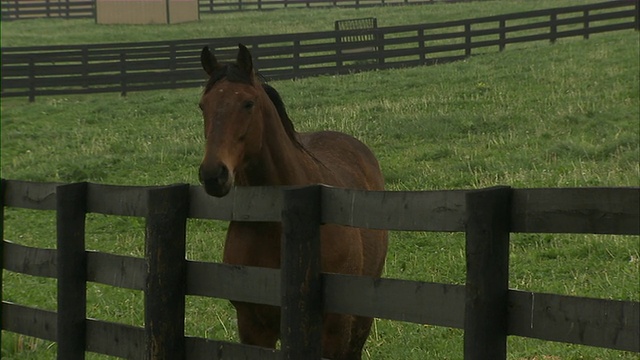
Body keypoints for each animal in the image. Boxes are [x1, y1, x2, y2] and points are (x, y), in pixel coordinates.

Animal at [198, 44, 388, 360]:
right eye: (203, 105)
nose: (213, 174)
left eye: (248, 103)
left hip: (359, 321)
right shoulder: (253, 324)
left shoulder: (335, 327)